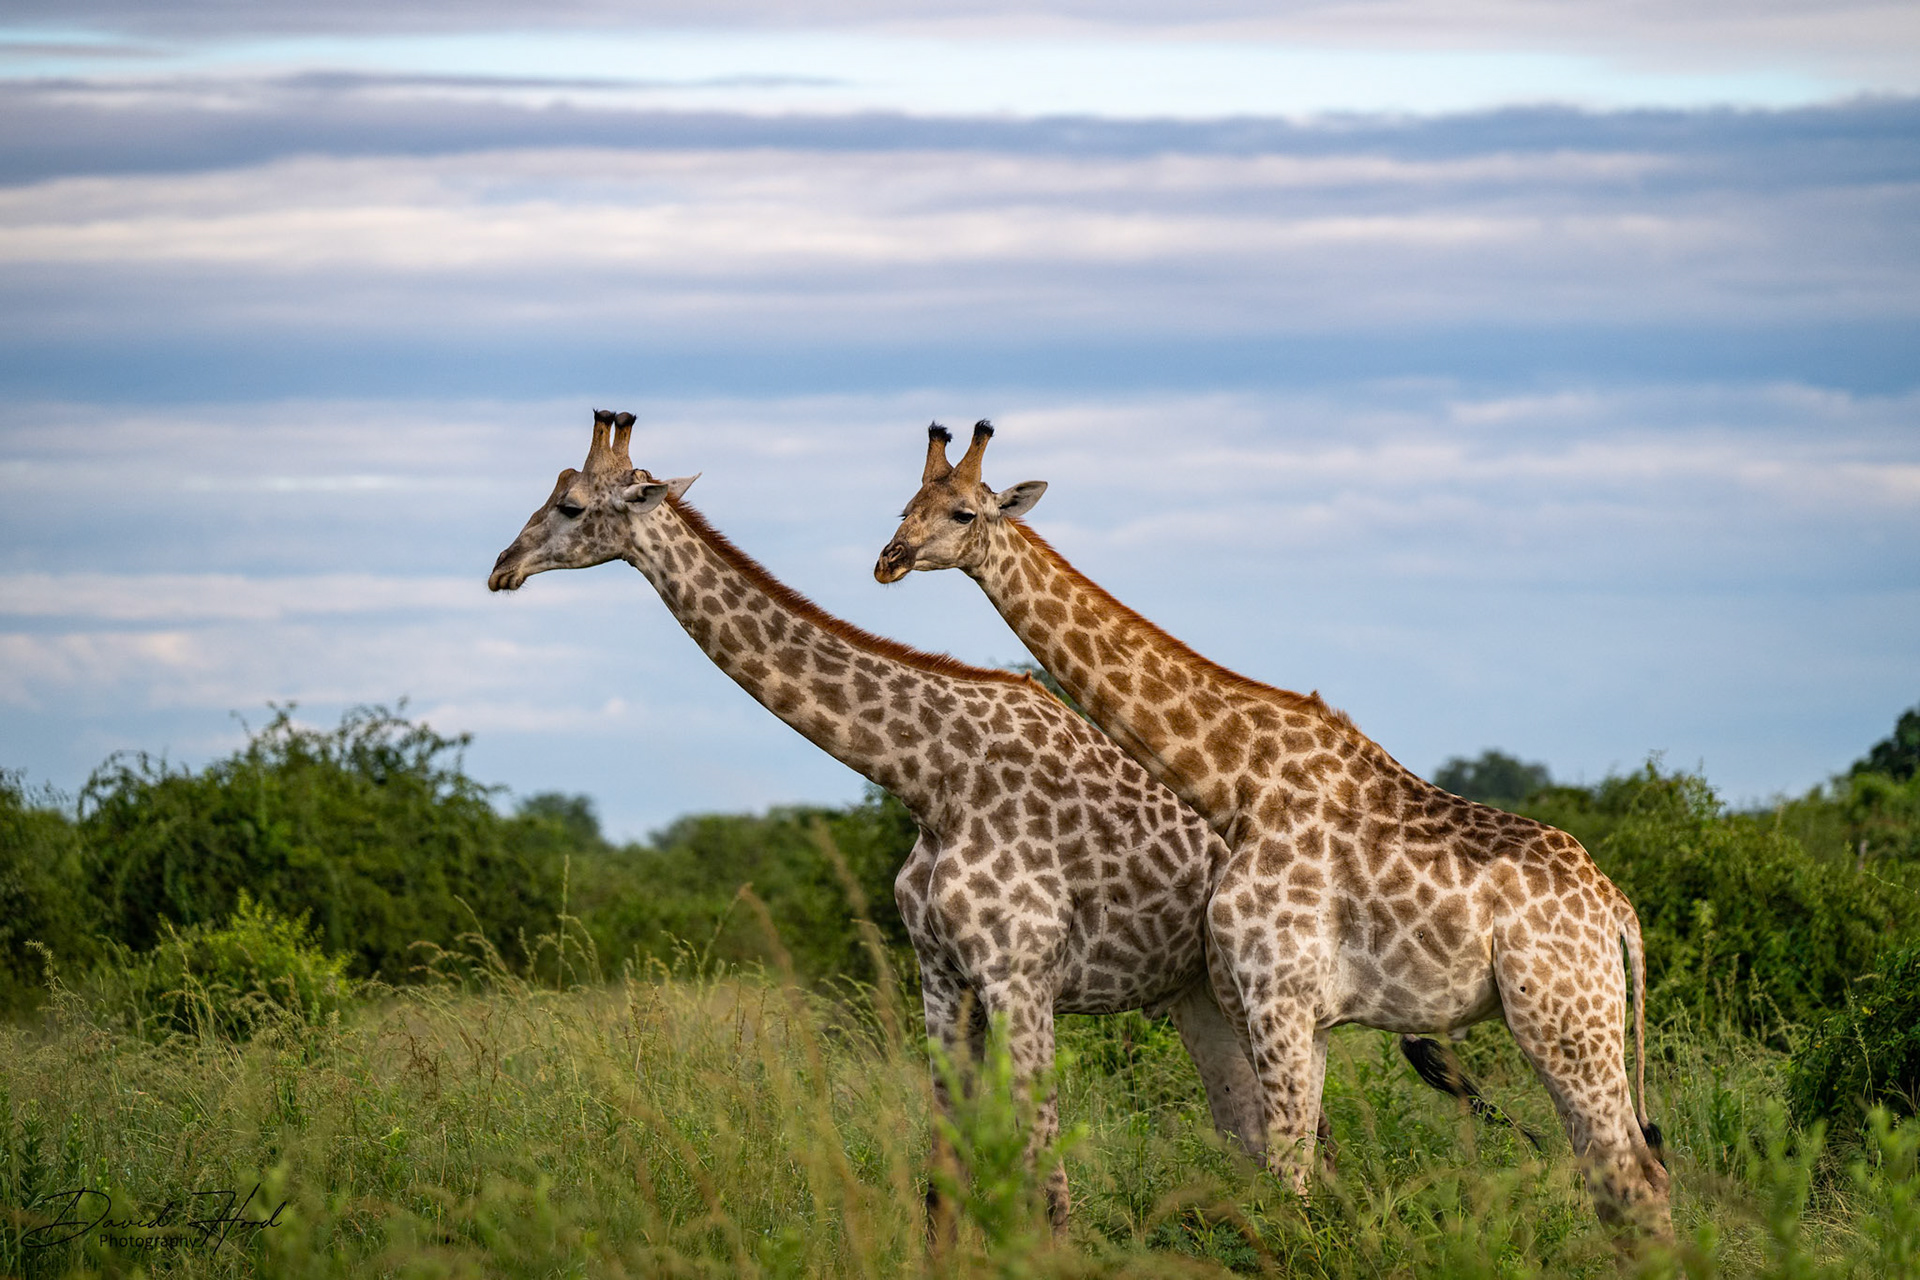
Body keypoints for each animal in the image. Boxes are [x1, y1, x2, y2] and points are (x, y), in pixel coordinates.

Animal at [488, 410, 1273, 1234]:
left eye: (572, 506)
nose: (502, 567)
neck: (932, 781)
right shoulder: (942, 975)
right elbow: (943, 1178)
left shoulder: (1021, 976)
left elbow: (1048, 1186)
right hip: (1194, 994)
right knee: (1250, 1137)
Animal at [874, 421, 1674, 1236]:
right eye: (905, 505)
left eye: (964, 513)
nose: (888, 560)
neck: (1237, 785)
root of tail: (1619, 913)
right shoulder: (1303, 1012)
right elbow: (1300, 1168)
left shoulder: (1276, 994)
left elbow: (1288, 1177)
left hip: (1563, 1019)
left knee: (1635, 1174)